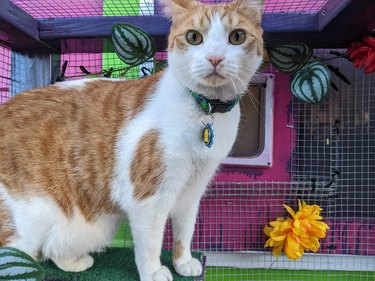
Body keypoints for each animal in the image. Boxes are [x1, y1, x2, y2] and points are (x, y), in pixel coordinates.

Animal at [0, 0, 264, 280]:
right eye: (194, 37)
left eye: (237, 36)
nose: (215, 58)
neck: (206, 109)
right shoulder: (148, 199)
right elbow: (151, 242)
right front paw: (154, 272)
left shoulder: (192, 190)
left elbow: (185, 231)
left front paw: (182, 262)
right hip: (25, 230)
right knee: (19, 256)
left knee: (53, 248)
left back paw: (75, 261)